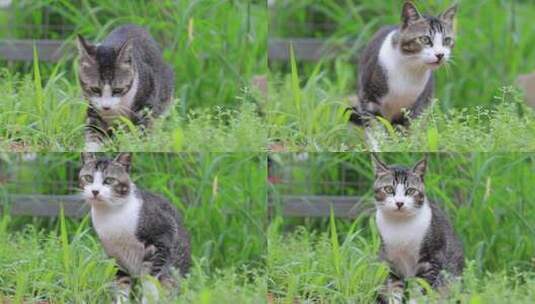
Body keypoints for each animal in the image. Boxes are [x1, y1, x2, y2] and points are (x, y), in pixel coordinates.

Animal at [78, 152, 191, 302]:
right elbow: (122, 285)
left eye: (109, 180)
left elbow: (149, 283)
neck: (110, 215)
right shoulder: (116, 256)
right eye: (88, 178)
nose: (95, 191)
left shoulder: (161, 241)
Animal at [372, 156, 464, 302]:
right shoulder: (391, 263)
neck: (400, 226)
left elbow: (419, 291)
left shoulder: (431, 260)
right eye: (388, 189)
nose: (399, 203)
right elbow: (394, 289)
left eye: (410, 191)